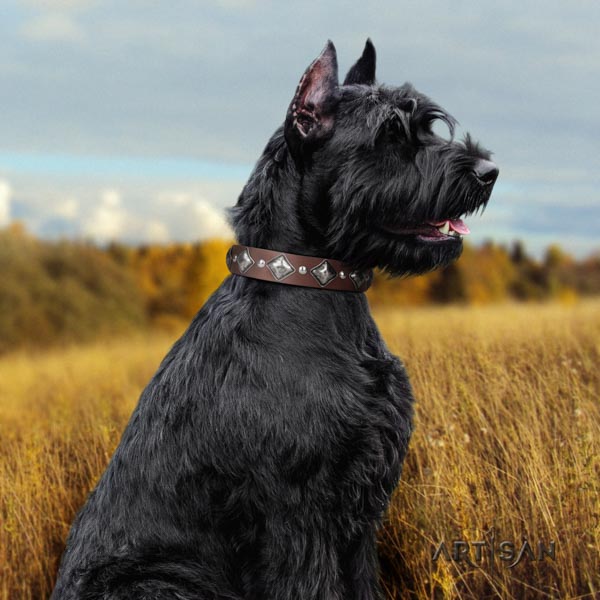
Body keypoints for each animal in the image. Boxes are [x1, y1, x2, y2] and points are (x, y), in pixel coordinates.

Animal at [51, 39, 500, 596]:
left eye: (428, 124)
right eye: (390, 134)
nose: (488, 172)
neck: (317, 287)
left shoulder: (359, 518)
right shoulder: (299, 517)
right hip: (161, 582)